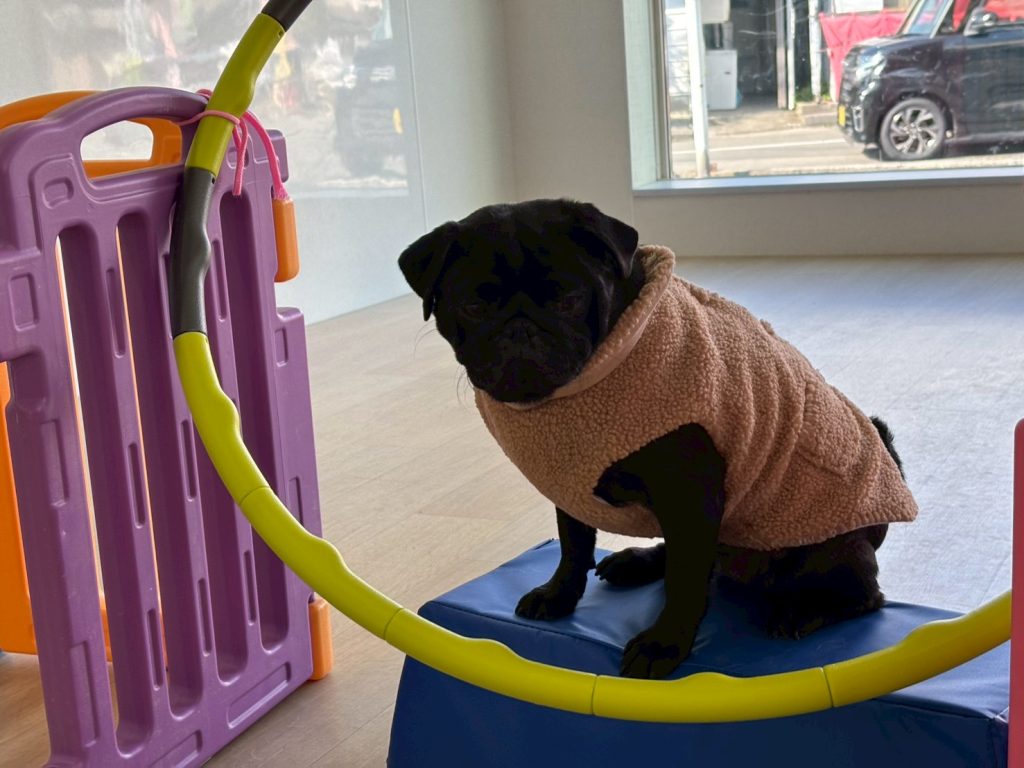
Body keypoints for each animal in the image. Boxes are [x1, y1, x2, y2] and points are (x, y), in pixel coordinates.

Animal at [398, 199, 917, 679]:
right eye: (473, 307)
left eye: (569, 300)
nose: (520, 331)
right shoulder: (571, 479)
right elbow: (573, 546)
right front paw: (559, 594)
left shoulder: (689, 493)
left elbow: (684, 580)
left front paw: (664, 644)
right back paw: (638, 562)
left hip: (827, 546)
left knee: (863, 594)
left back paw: (803, 611)